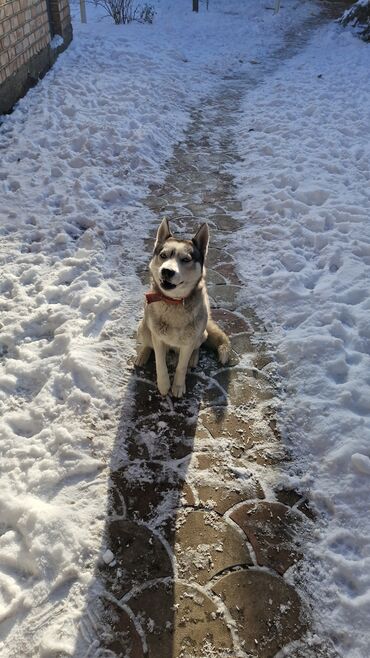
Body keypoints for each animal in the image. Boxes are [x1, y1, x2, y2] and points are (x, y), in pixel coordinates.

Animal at [134, 218, 230, 398]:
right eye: (163, 255)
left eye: (185, 259)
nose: (166, 271)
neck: (174, 303)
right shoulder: (158, 339)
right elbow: (160, 364)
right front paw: (164, 385)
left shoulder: (187, 343)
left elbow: (181, 367)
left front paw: (178, 386)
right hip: (143, 327)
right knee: (148, 343)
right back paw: (143, 354)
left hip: (200, 334)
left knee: (197, 346)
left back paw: (193, 358)